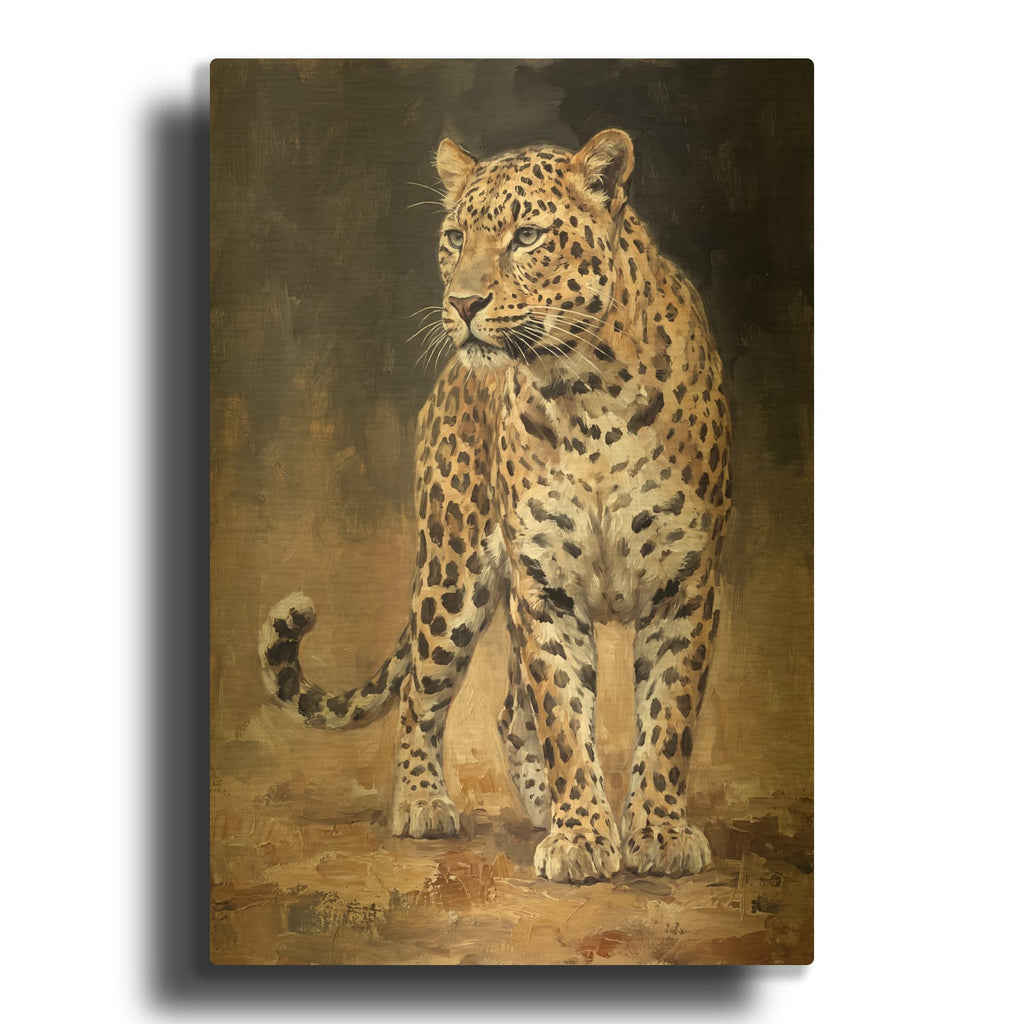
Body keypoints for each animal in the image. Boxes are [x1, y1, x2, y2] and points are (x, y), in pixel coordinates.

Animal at [259, 129, 732, 884]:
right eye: (455, 237)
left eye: (528, 236)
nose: (462, 304)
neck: (588, 392)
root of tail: (450, 380)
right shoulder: (544, 589)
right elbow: (565, 715)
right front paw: (582, 837)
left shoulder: (684, 583)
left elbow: (668, 716)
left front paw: (656, 832)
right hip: (452, 575)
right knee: (423, 698)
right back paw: (426, 805)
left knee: (510, 709)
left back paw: (545, 808)